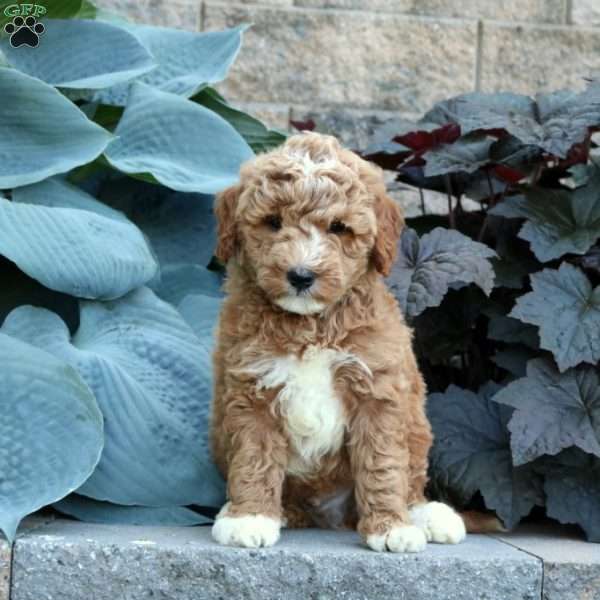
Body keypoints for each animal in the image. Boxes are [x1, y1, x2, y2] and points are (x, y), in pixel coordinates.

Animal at [209, 132, 466, 552]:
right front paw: (250, 517)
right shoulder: (251, 388)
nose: (301, 275)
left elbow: (382, 464)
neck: (310, 325)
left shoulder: (378, 390)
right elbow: (254, 455)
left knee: (412, 480)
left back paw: (428, 516)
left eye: (339, 227)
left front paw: (390, 527)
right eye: (273, 222)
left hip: (416, 427)